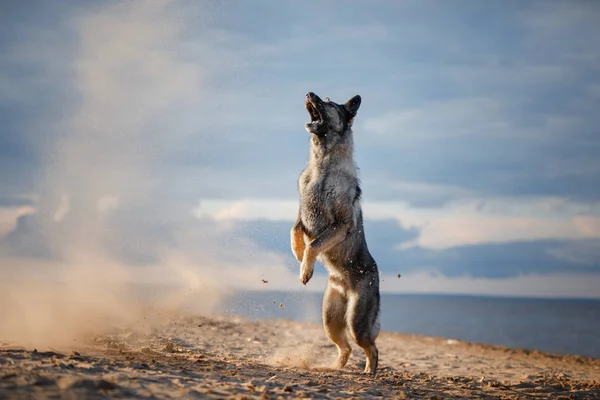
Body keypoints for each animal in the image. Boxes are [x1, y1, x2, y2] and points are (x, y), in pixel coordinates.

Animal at [290, 92, 380, 374]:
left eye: (328, 104)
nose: (309, 93)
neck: (323, 168)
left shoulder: (340, 225)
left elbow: (314, 244)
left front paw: (305, 269)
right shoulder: (301, 217)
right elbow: (295, 232)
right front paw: (298, 256)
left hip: (356, 321)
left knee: (371, 348)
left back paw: (369, 373)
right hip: (329, 319)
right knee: (346, 348)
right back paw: (334, 368)